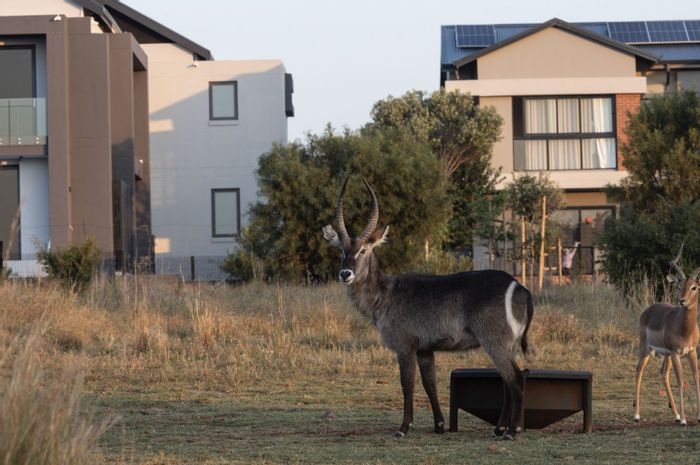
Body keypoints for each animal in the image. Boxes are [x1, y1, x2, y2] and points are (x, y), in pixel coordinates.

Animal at [322, 175, 534, 440]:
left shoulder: (405, 346)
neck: (385, 294)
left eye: (363, 250)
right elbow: (429, 383)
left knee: (516, 378)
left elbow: (407, 384)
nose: (345, 274)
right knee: (507, 381)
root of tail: (520, 287)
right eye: (341, 250)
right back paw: (499, 428)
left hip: (495, 341)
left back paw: (512, 431)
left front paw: (403, 428)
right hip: (506, 344)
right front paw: (440, 425)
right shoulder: (425, 349)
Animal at [634, 243, 700, 425]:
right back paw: (636, 415)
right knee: (638, 371)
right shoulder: (676, 352)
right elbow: (681, 381)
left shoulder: (692, 351)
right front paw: (684, 419)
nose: (682, 300)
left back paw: (675, 415)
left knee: (664, 374)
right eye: (680, 286)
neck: (684, 329)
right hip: (646, 349)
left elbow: (696, 378)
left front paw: (696, 417)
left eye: (694, 287)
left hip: (666, 355)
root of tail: (648, 310)